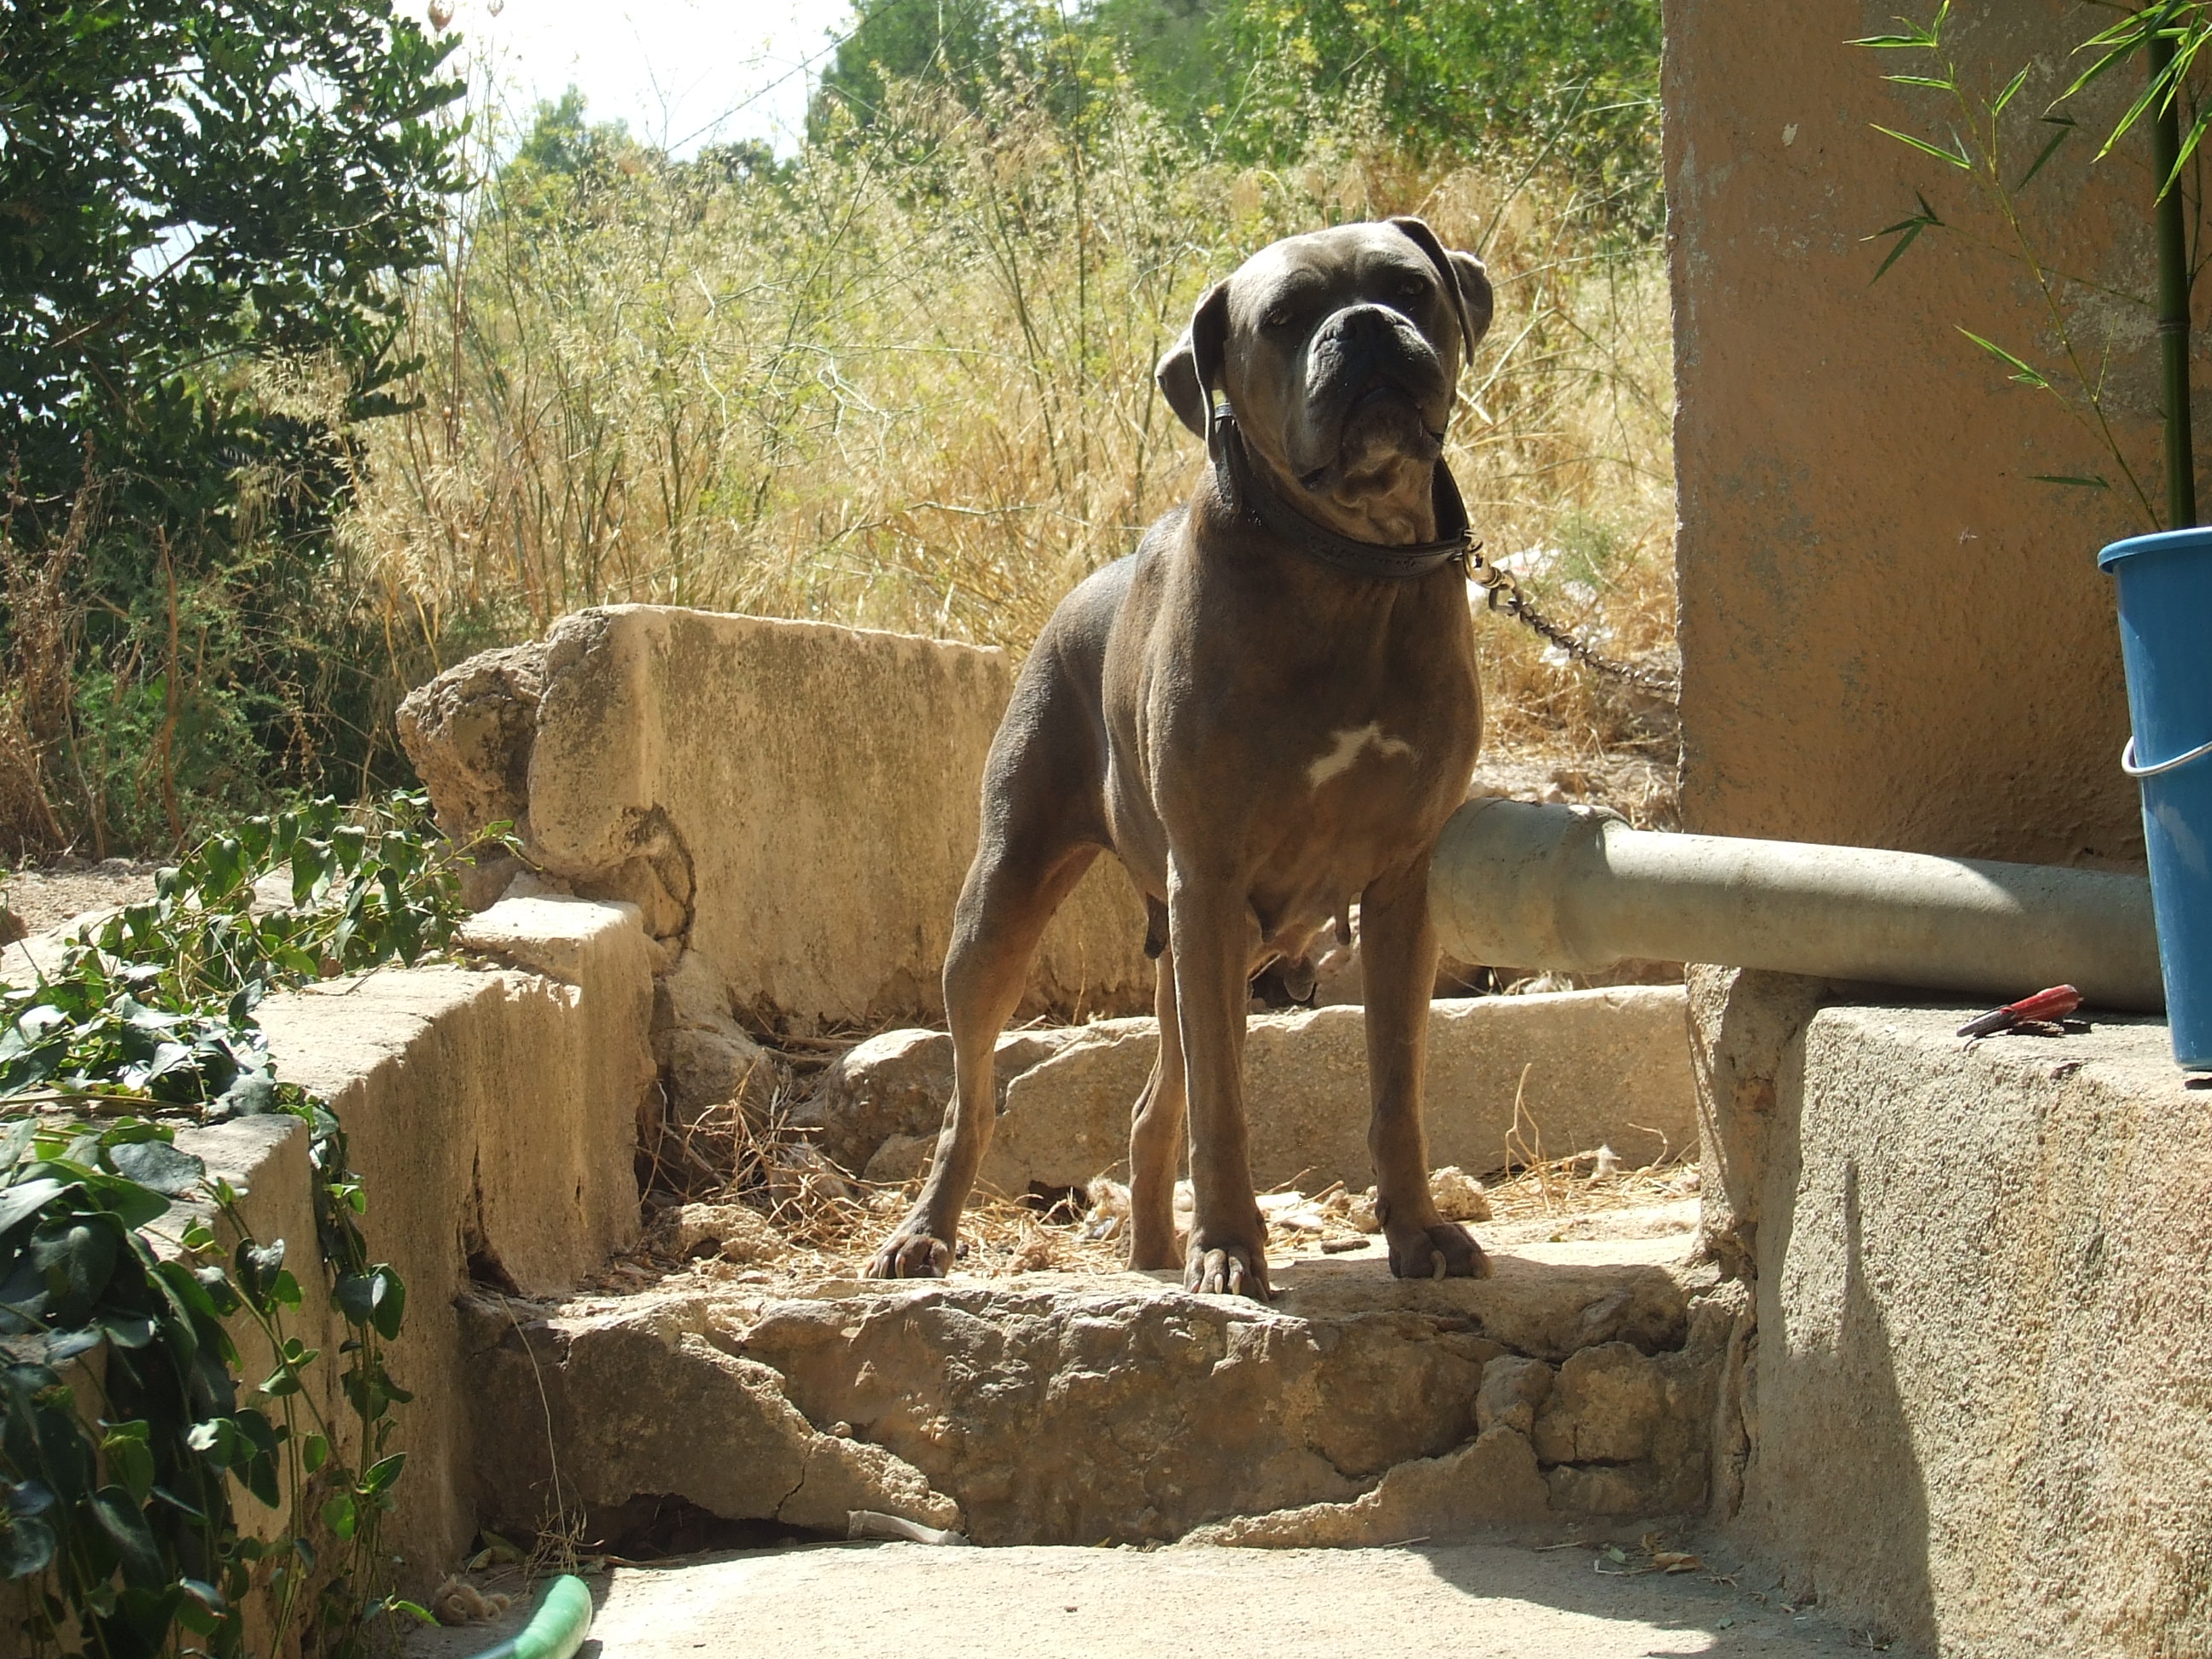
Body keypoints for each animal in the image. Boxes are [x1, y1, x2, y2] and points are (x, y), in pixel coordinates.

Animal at [871, 218, 1495, 1301]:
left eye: (1410, 287)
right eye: (1283, 319)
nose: (1367, 328)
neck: (1351, 568)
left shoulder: (1401, 887)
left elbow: (1395, 1086)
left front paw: (1418, 1231)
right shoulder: (1211, 876)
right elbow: (1225, 1104)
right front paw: (1234, 1248)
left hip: (1206, 945)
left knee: (1150, 1103)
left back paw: (1157, 1251)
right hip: (1005, 910)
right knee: (972, 1094)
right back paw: (929, 1234)